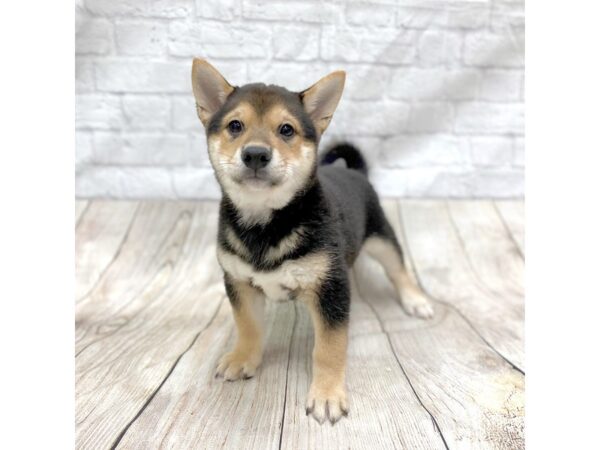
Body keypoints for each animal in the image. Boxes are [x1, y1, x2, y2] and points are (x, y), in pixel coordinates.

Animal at [191, 58, 432, 424]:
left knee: (398, 269)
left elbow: (329, 349)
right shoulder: (238, 282)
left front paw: (327, 394)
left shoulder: (331, 290)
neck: (266, 223)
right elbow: (248, 326)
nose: (256, 154)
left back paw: (415, 300)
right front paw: (242, 357)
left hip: (381, 238)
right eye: (235, 126)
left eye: (286, 130)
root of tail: (354, 172)